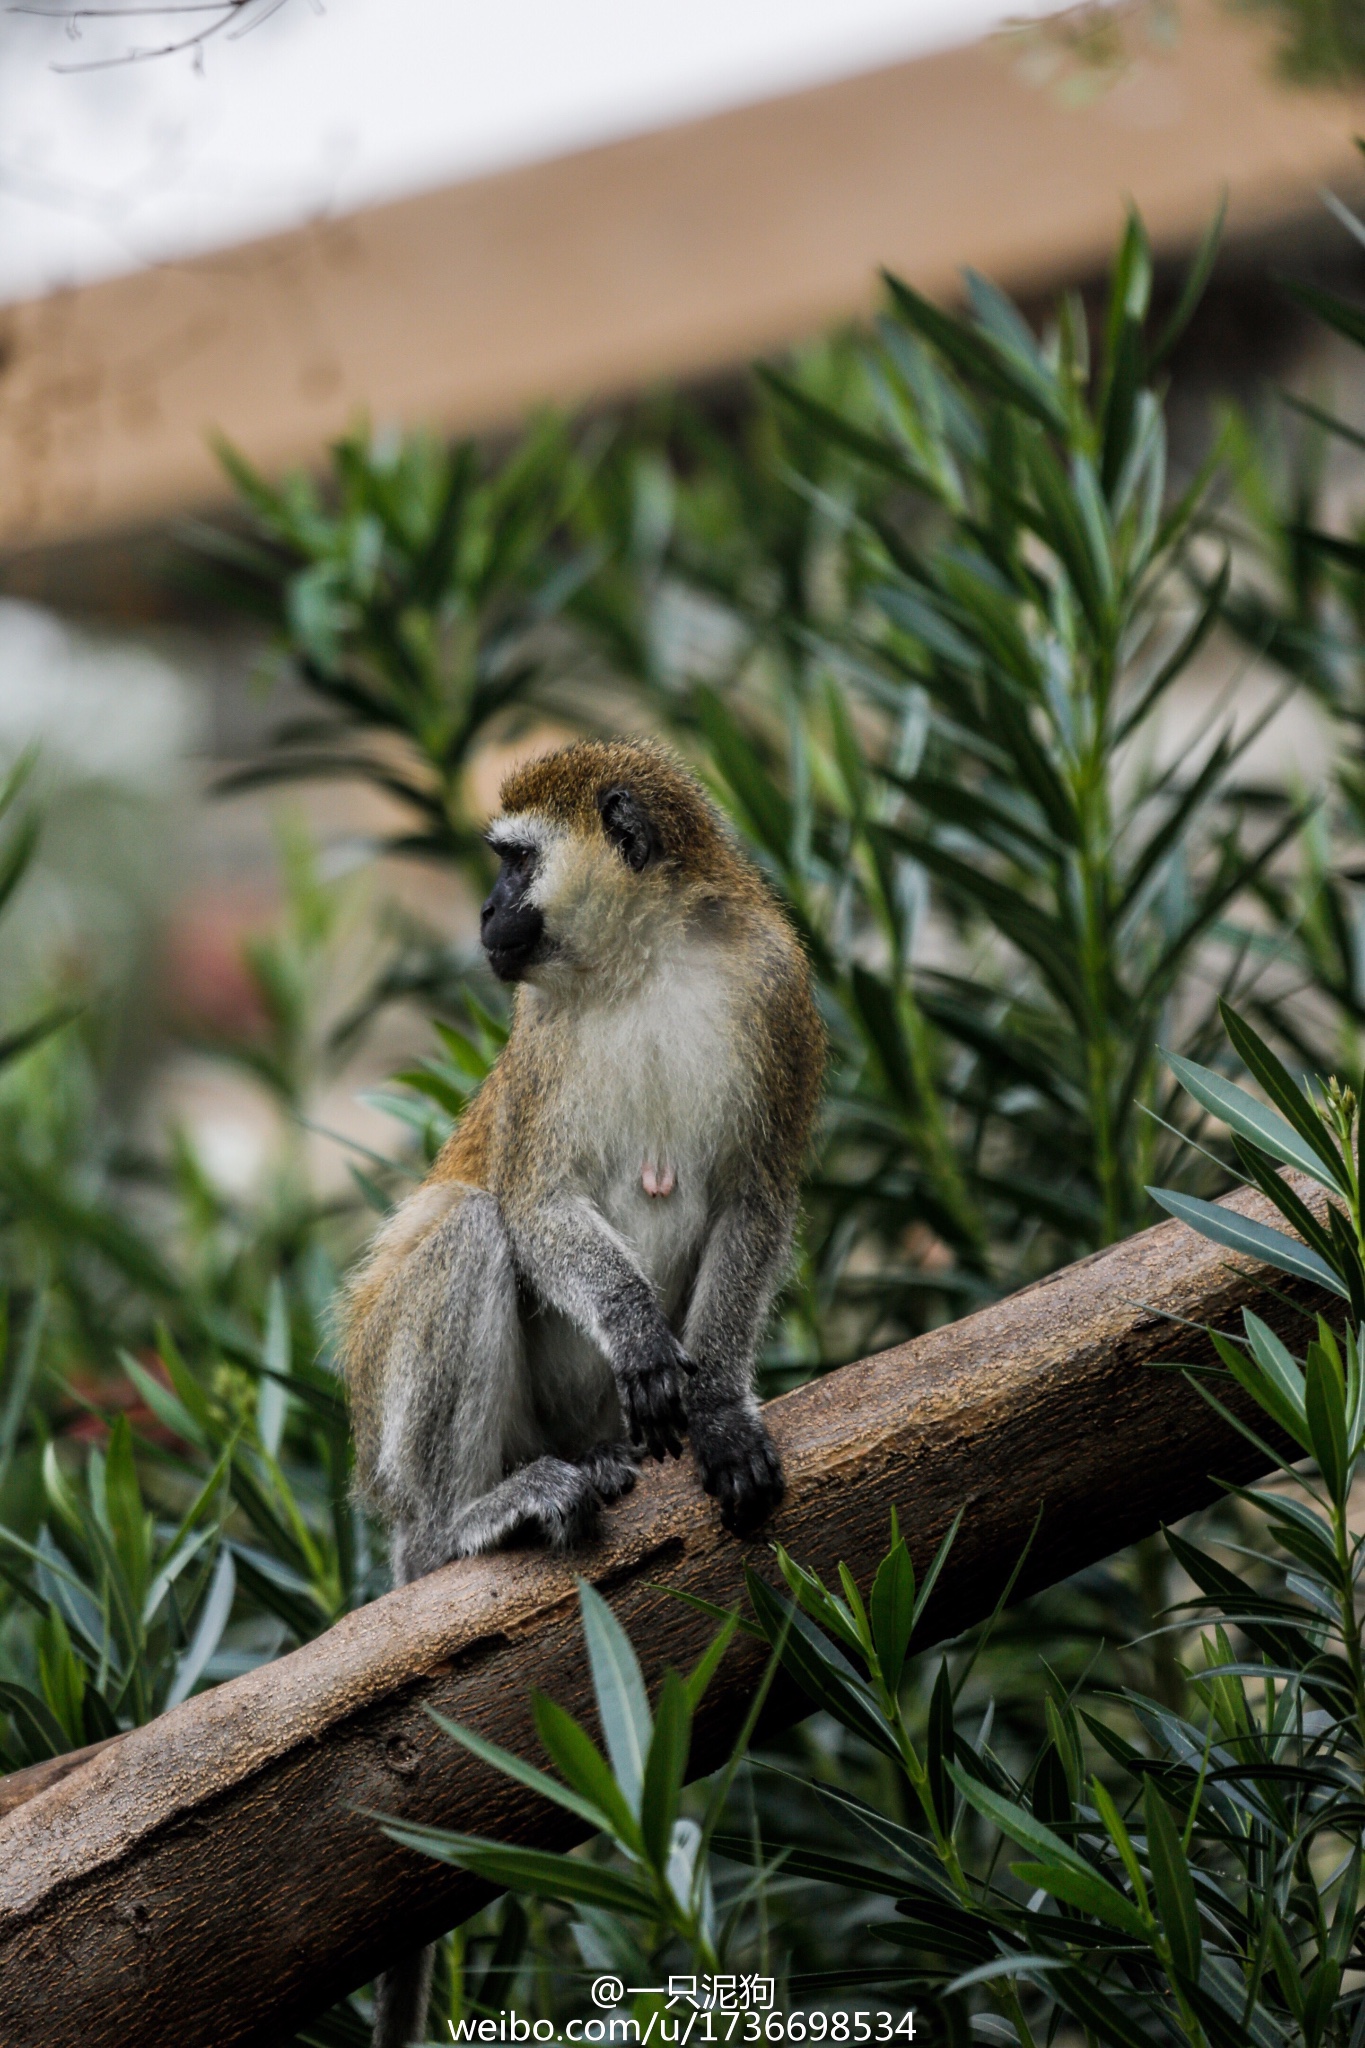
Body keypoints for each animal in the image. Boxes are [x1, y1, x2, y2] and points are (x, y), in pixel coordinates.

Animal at [349, 737, 822, 2031]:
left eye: (513, 862)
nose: (483, 912)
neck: (642, 965)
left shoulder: (775, 989)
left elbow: (754, 1200)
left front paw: (718, 1406)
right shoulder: (539, 1039)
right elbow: (532, 1201)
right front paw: (641, 1337)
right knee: (466, 1223)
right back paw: (469, 1524)